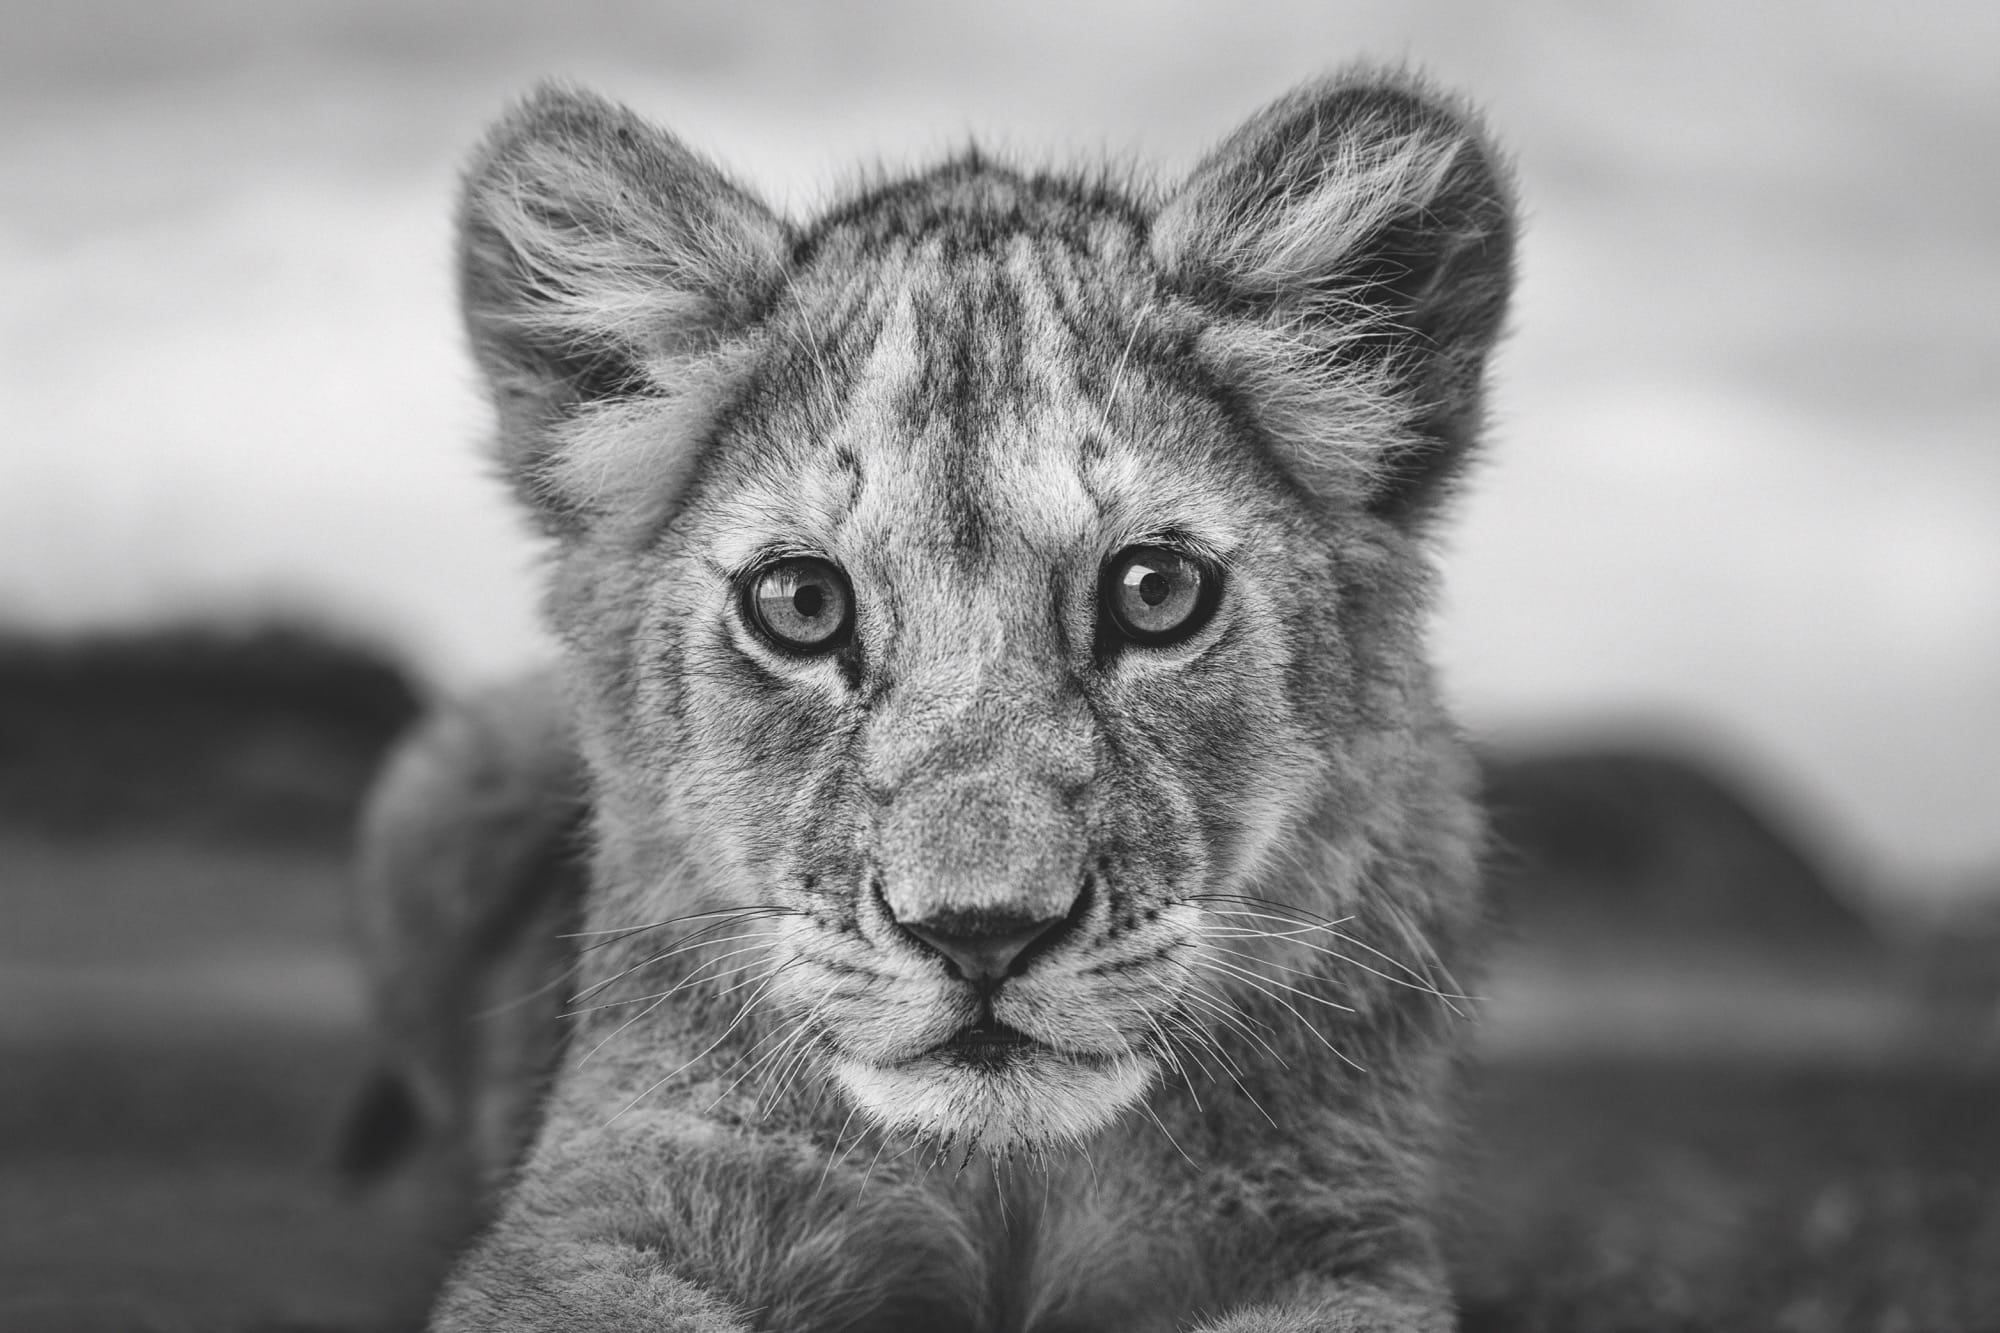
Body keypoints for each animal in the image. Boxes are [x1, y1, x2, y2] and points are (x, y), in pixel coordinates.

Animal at [353, 67, 1515, 1333]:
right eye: (800, 602)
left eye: (1155, 591)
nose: (981, 933)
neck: (1006, 1176)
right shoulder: (608, 1204)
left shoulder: (1325, 1227)